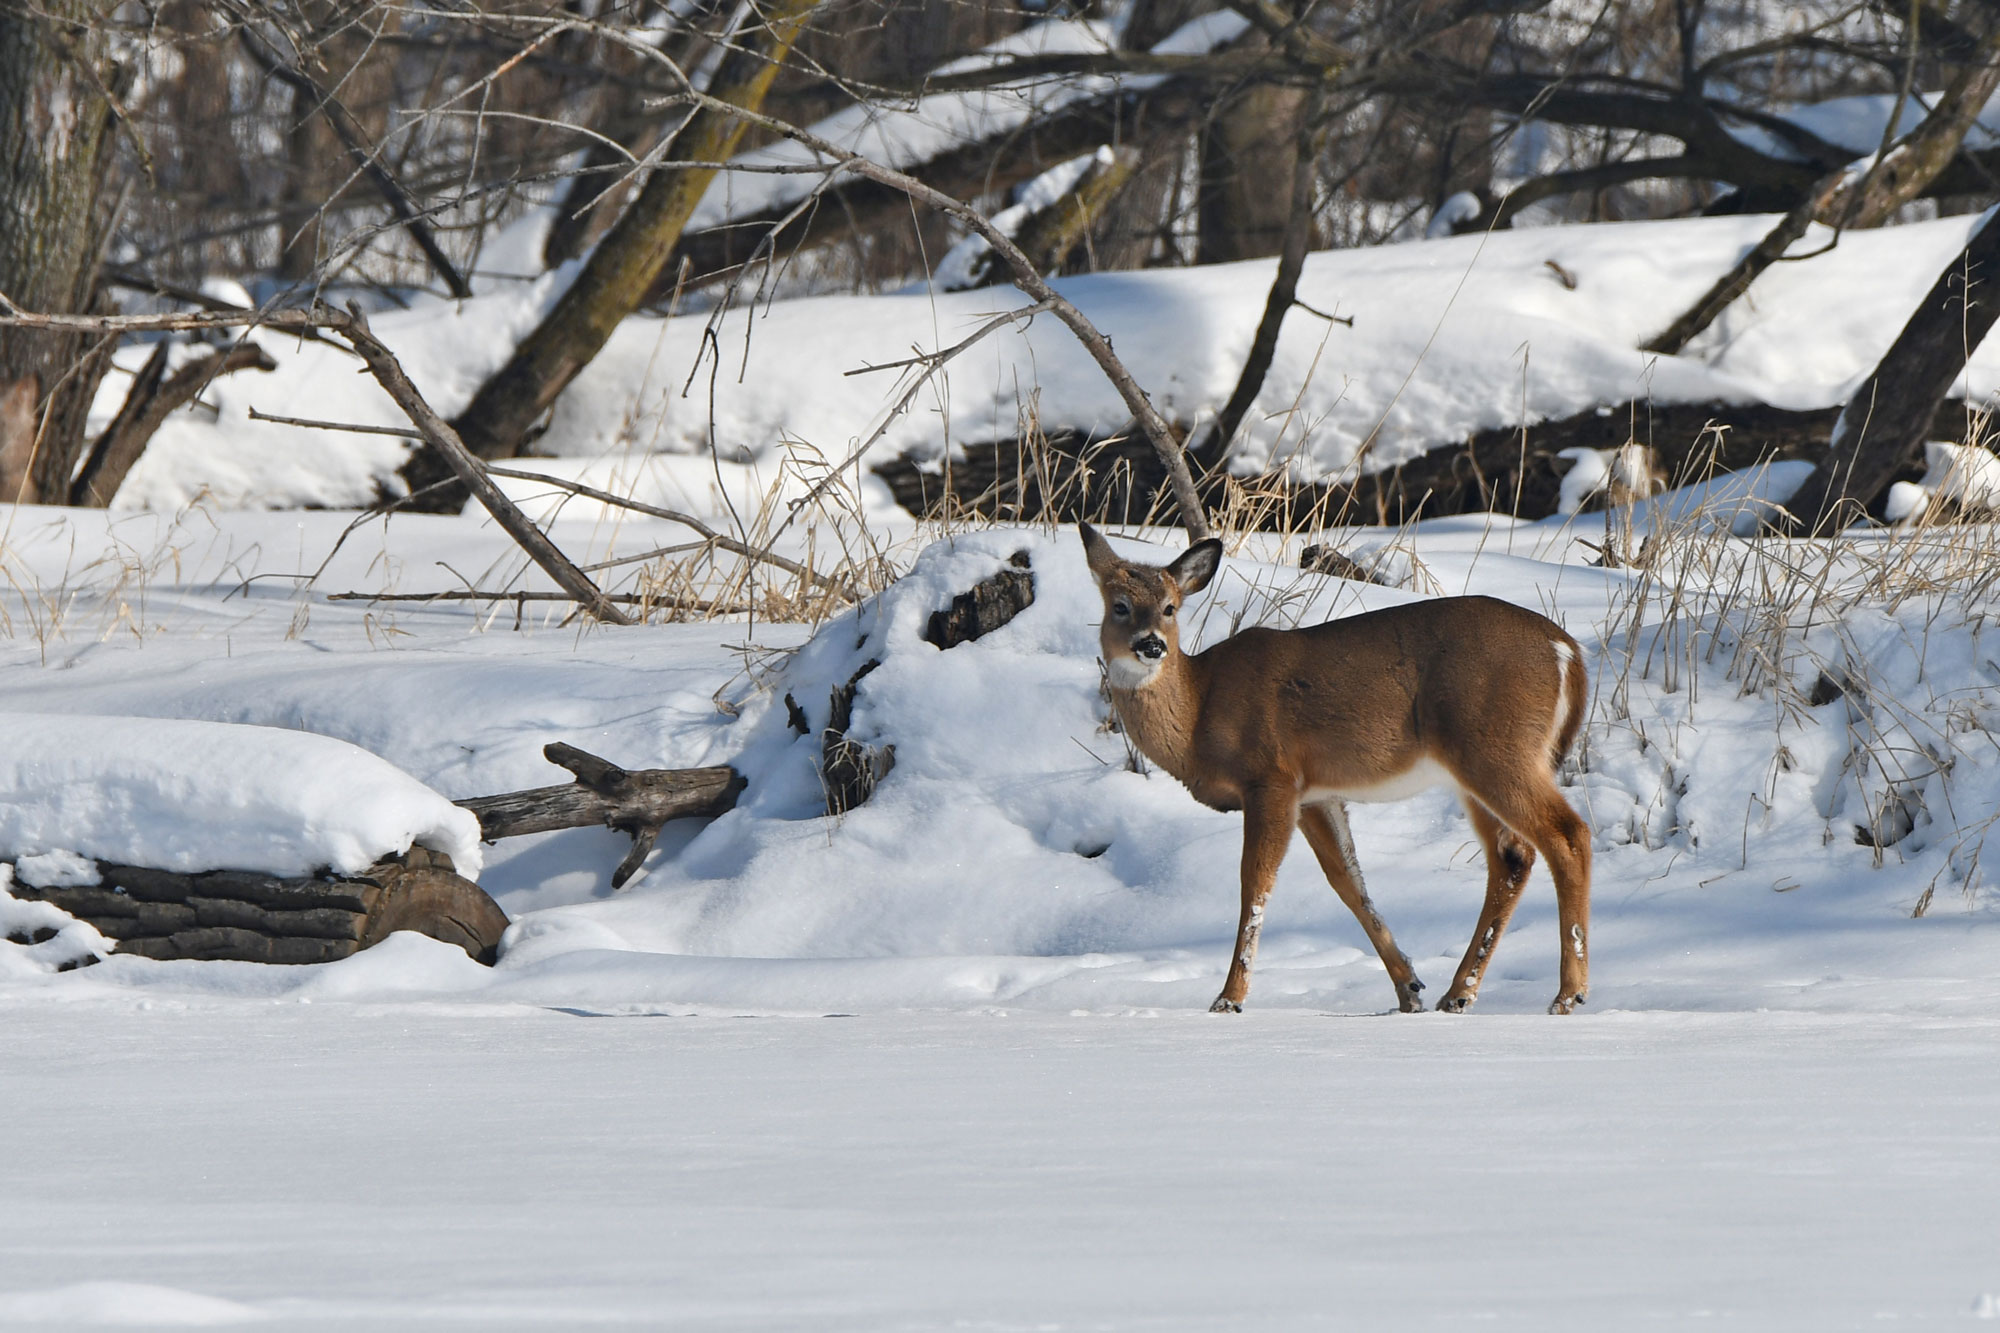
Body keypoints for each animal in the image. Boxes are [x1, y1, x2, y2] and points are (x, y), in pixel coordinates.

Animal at [1079, 523, 1593, 1016]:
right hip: (1477, 766)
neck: (1200, 709)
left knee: (1567, 835)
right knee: (1512, 857)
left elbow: (1255, 883)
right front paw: (1409, 988)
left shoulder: (1271, 776)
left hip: (1496, 748)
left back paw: (1568, 993)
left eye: (1169, 608)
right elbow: (1349, 883)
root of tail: (1568, 651)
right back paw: (1459, 994)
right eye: (1120, 606)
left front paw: (1230, 997)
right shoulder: (1316, 794)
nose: (1151, 645)